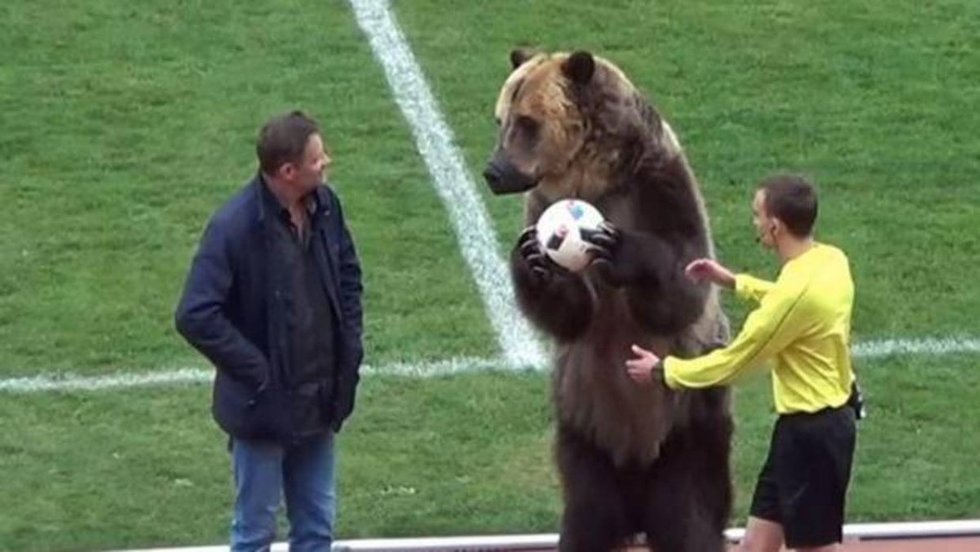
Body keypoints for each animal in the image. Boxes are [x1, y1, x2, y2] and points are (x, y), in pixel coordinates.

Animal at [483, 49, 734, 552]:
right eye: (501, 119)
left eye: (527, 123)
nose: (493, 172)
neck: (595, 179)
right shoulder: (540, 203)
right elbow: (571, 316)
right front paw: (534, 261)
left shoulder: (659, 186)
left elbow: (684, 280)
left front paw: (621, 251)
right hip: (584, 429)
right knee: (587, 516)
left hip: (689, 426)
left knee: (690, 514)